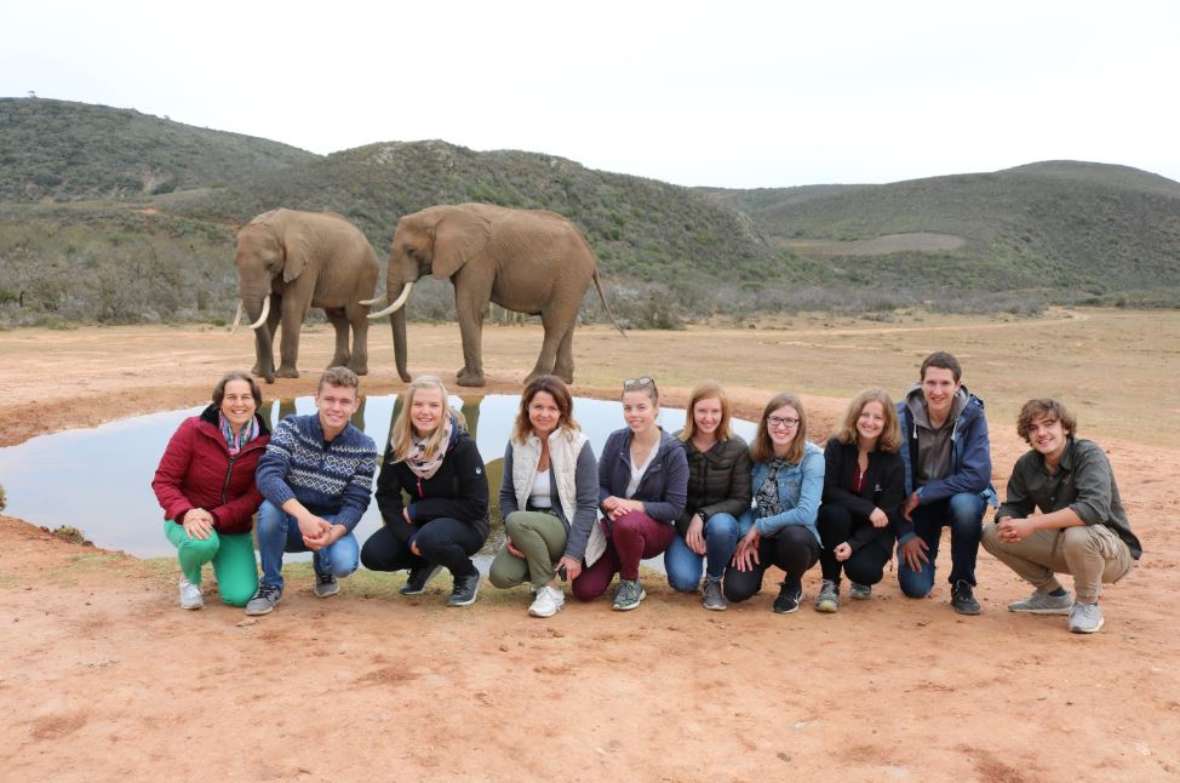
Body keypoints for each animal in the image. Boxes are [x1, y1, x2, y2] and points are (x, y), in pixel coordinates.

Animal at [230, 209, 377, 384]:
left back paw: (356, 370)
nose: (269, 379)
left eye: (270, 264)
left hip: (365, 275)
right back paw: (334, 368)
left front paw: (285, 376)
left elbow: (292, 307)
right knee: (338, 319)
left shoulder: (306, 264)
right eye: (236, 263)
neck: (278, 227)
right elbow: (271, 313)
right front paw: (258, 372)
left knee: (357, 317)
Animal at [368, 201, 627, 384]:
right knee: (567, 325)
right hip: (573, 282)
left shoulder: (480, 258)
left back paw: (534, 380)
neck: (447, 214)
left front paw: (468, 382)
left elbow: (469, 307)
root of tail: (590, 252)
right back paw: (562, 380)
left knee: (554, 324)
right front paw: (462, 375)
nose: (409, 378)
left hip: (570, 275)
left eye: (411, 250)